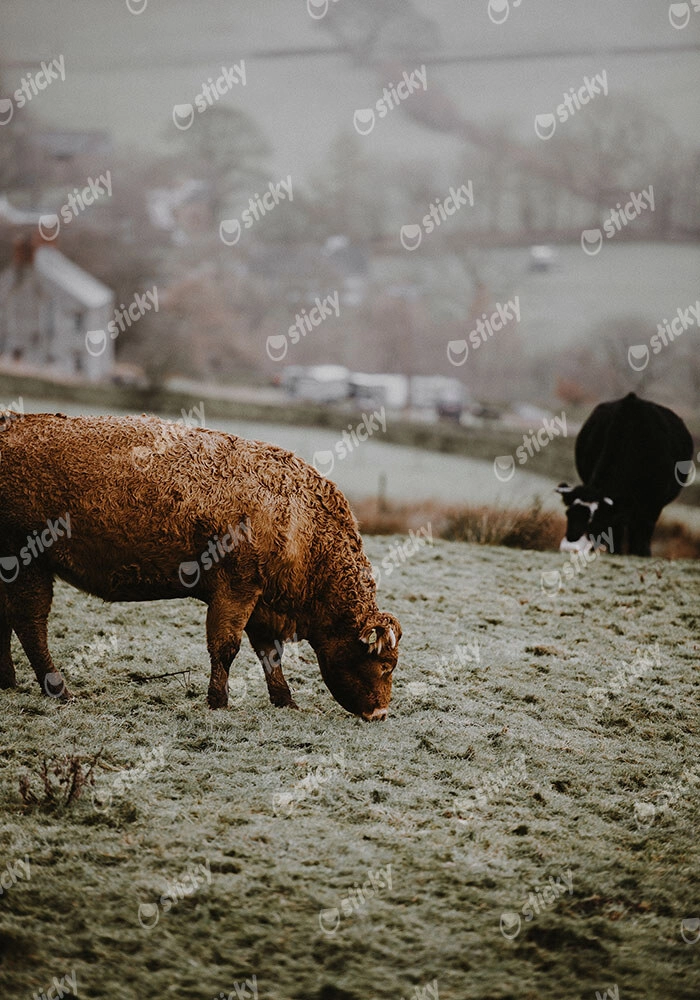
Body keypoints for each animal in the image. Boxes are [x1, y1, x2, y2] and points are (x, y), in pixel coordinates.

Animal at [0, 413, 401, 719]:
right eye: (385, 665)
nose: (380, 713)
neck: (299, 520)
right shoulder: (236, 591)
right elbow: (226, 647)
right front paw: (218, 701)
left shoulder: (260, 603)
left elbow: (269, 653)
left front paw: (284, 699)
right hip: (28, 561)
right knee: (30, 624)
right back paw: (58, 688)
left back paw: (9, 679)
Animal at [556, 393, 694, 557]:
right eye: (568, 513)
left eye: (595, 521)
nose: (570, 548)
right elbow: (616, 529)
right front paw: (615, 551)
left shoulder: (653, 503)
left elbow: (644, 529)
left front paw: (642, 553)